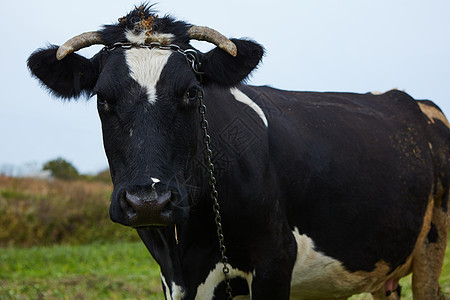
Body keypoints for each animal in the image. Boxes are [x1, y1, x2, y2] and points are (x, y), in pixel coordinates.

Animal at [26, 4, 448, 300]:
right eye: (103, 99)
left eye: (192, 92)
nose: (149, 201)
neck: (186, 247)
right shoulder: (171, 278)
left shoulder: (275, 260)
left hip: (433, 243)